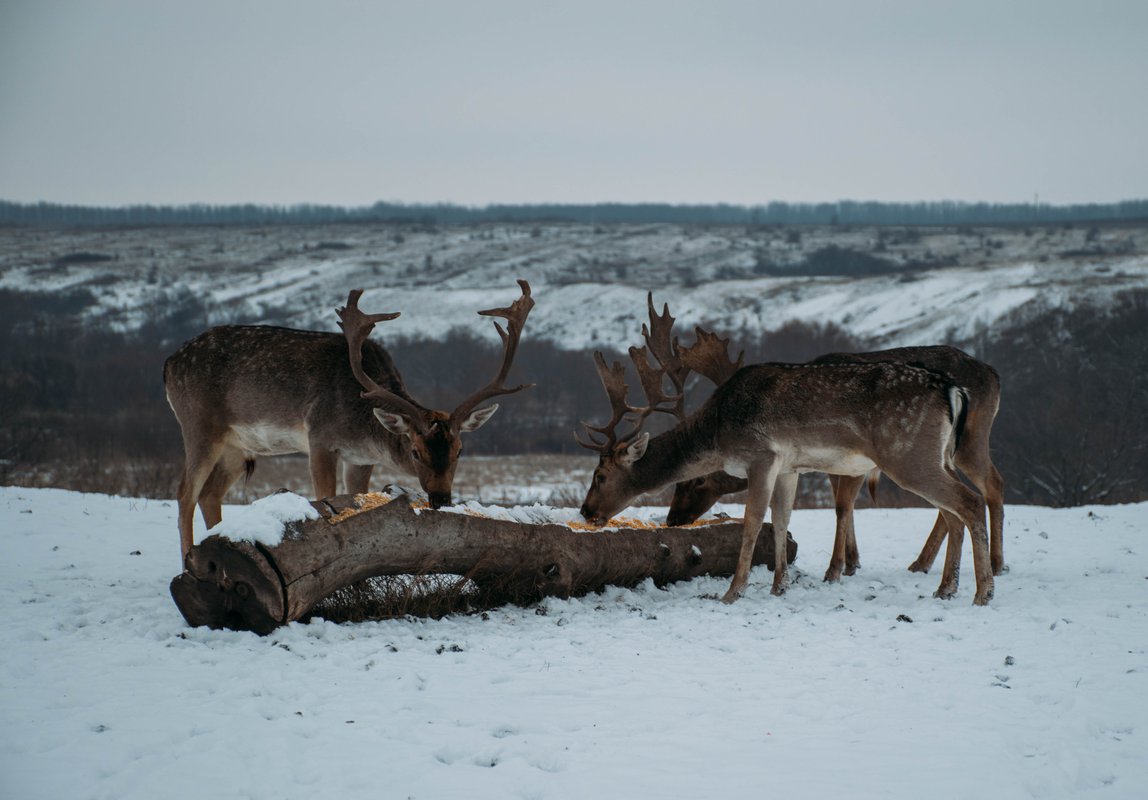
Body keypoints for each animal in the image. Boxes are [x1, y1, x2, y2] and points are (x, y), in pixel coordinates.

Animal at [165, 282, 532, 562]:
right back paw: (187, 562)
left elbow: (357, 500)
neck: (361, 424)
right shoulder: (320, 438)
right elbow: (325, 498)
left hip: (237, 446)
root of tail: (168, 364)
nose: (441, 498)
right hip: (198, 424)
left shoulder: (360, 458)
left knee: (210, 494)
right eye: (415, 451)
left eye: (459, 450)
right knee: (185, 492)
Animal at [578, 298, 991, 606]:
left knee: (970, 502)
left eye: (600, 475)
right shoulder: (790, 467)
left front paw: (733, 591)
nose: (585, 511)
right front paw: (780, 585)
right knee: (954, 511)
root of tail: (954, 390)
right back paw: (946, 588)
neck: (719, 431)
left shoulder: (761, 455)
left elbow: (752, 521)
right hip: (938, 455)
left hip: (907, 454)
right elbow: (781, 519)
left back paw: (982, 592)